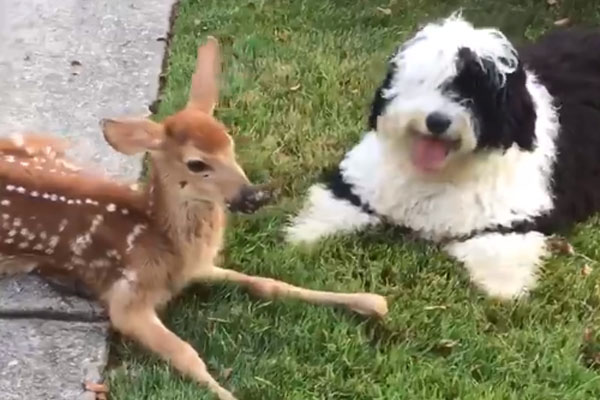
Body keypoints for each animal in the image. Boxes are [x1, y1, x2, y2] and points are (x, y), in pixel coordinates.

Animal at [0, 36, 390, 396]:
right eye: (197, 163)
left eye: (229, 142)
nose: (252, 195)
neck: (163, 242)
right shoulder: (127, 298)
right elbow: (185, 353)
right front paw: (227, 393)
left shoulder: (198, 266)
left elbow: (268, 283)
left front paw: (370, 302)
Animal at [284, 11, 600, 300]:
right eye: (424, 82)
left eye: (476, 92)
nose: (437, 121)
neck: (442, 172)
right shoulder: (366, 180)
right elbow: (335, 205)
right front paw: (303, 234)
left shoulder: (513, 211)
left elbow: (498, 246)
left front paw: (503, 286)